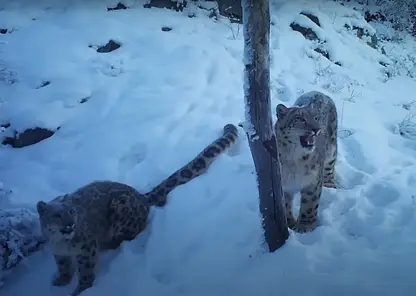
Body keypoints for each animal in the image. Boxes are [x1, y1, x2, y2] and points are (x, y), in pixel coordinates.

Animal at [37, 123, 239, 296]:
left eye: (71, 211)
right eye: (57, 215)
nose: (70, 224)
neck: (61, 242)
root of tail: (141, 196)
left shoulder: (86, 248)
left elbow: (86, 271)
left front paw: (80, 290)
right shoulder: (58, 253)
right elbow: (63, 266)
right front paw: (61, 280)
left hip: (120, 209)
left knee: (132, 233)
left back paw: (112, 243)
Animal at [276, 90, 338, 234]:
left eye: (315, 118)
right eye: (300, 119)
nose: (317, 129)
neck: (293, 159)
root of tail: (319, 92)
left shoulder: (313, 181)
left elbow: (309, 205)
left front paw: (305, 226)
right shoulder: (283, 184)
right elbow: (285, 204)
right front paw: (289, 223)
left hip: (331, 151)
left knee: (330, 168)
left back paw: (330, 185)